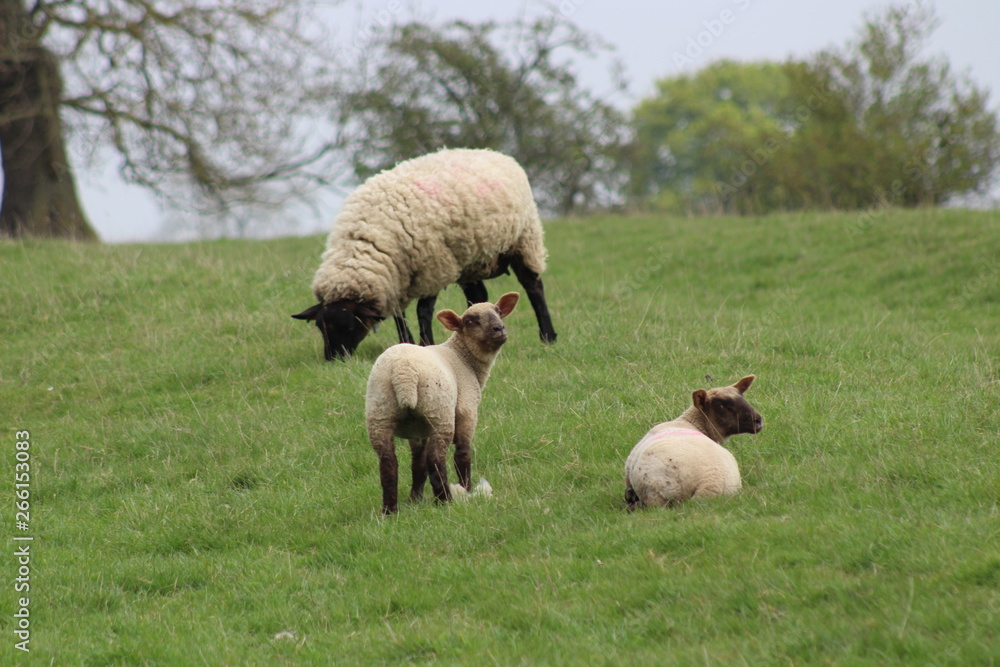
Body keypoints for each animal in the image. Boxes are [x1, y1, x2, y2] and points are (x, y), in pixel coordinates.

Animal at [292, 148, 556, 360]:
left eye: (349, 327)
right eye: (320, 327)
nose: (334, 359)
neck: (368, 238)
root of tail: (495, 153)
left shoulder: (433, 267)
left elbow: (423, 311)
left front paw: (425, 344)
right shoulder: (397, 278)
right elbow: (399, 315)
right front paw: (405, 342)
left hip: (524, 240)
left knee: (534, 287)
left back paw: (548, 336)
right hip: (470, 258)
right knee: (478, 294)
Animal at [364, 292, 519, 515]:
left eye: (498, 311)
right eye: (470, 322)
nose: (499, 329)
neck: (463, 357)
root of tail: (403, 371)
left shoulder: (417, 430)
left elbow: (418, 463)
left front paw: (415, 499)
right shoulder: (467, 410)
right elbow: (462, 453)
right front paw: (467, 488)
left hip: (380, 414)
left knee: (388, 462)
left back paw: (390, 511)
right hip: (439, 412)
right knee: (436, 459)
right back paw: (445, 500)